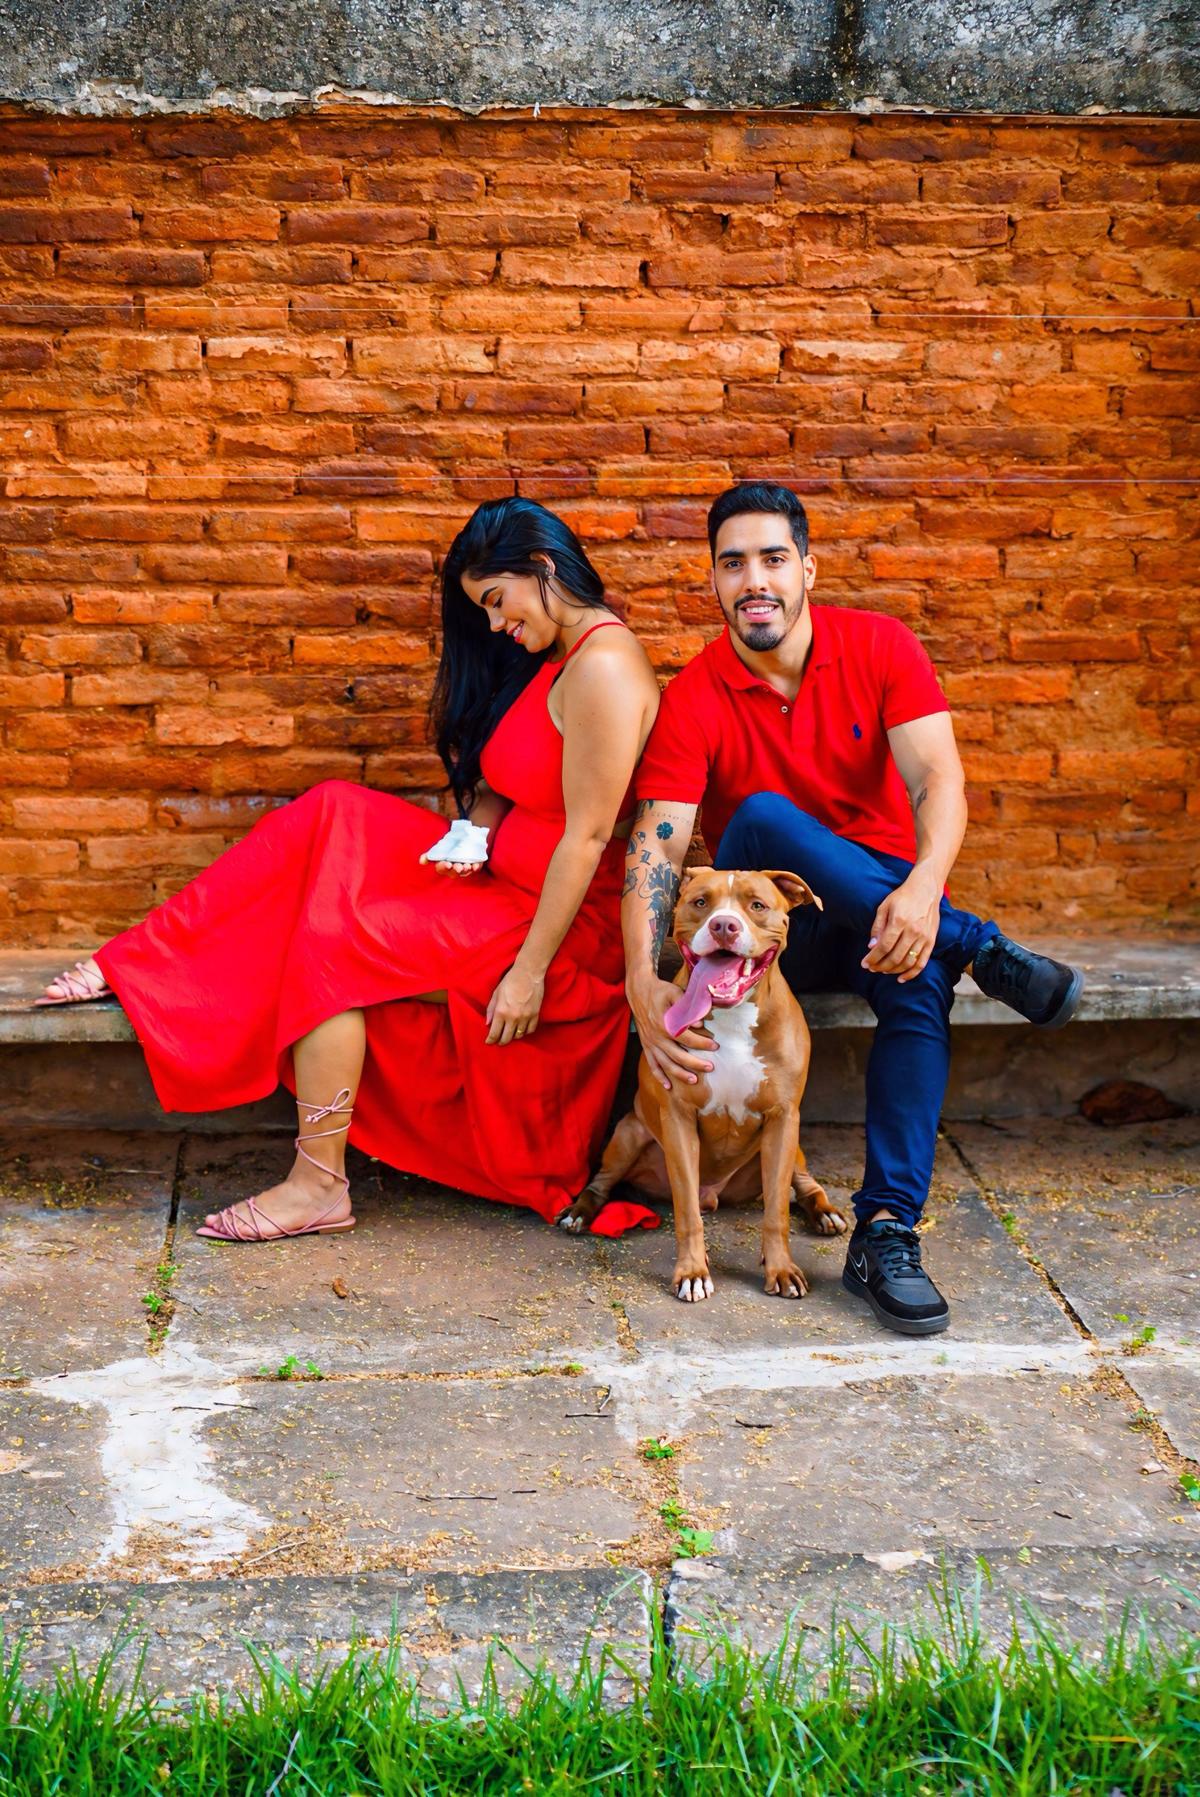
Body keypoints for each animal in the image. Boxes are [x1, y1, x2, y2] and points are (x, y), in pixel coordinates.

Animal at [562, 866, 846, 1300]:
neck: (732, 1017)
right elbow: (686, 1211)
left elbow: (777, 1210)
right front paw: (693, 1271)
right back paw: (580, 1212)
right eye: (701, 902)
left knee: (803, 1185)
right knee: (603, 1180)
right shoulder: (679, 1118)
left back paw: (825, 1212)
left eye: (757, 905)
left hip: (792, 1145)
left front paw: (781, 1269)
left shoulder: (783, 1118)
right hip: (628, 1134)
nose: (724, 925)